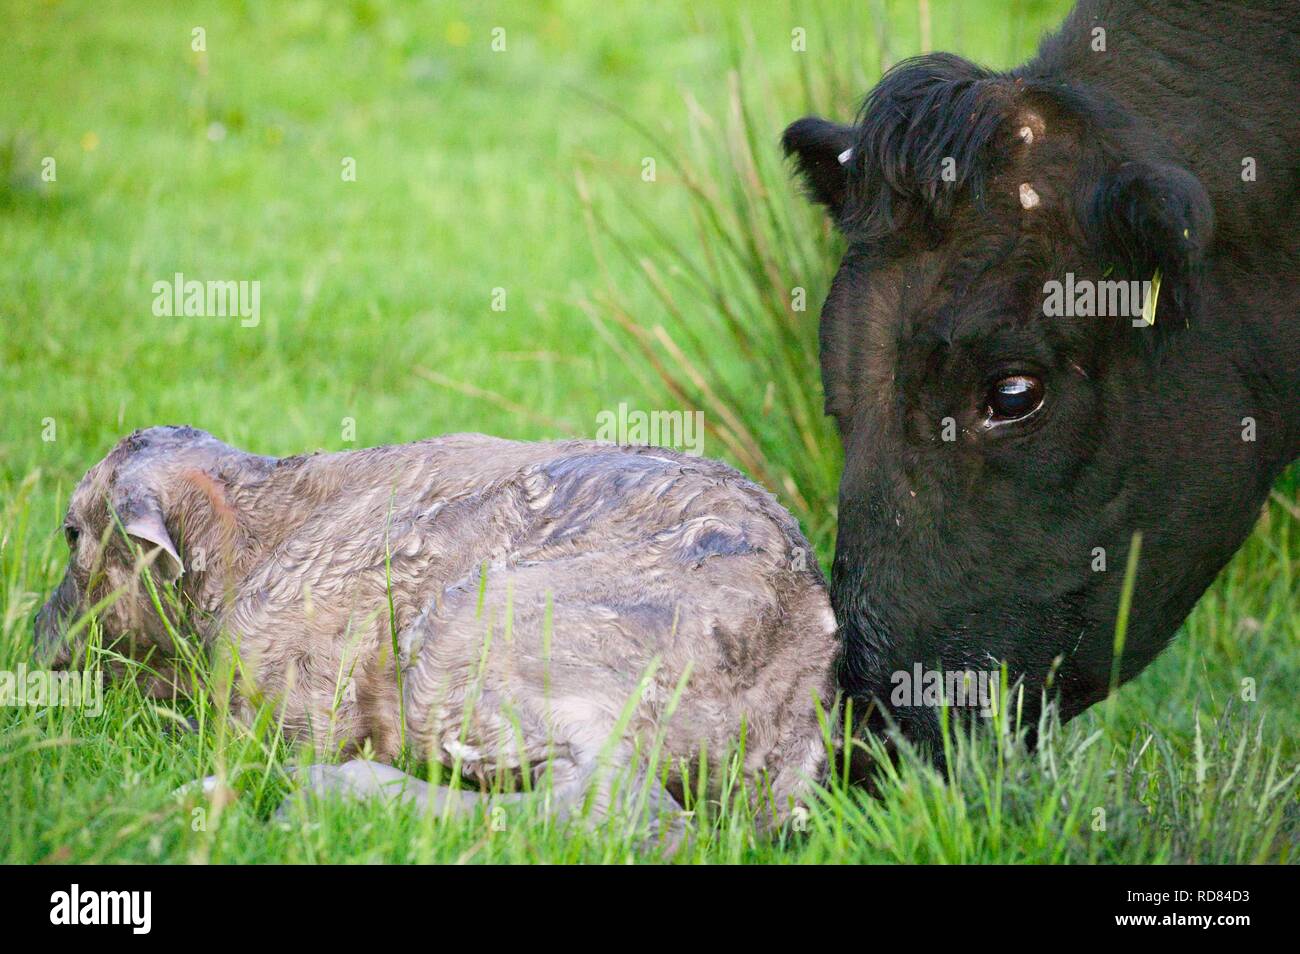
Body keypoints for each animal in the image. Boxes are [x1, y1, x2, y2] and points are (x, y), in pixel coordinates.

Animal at [38, 426, 842, 831]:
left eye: (72, 533)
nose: (38, 640)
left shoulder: (288, 699)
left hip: (481, 641)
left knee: (614, 809)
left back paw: (326, 793)